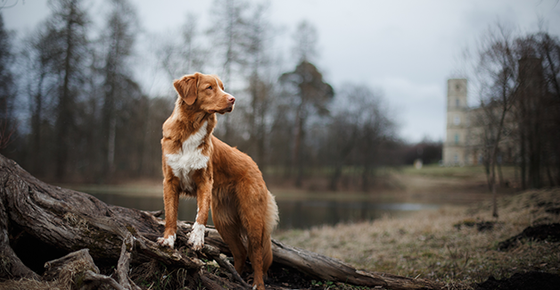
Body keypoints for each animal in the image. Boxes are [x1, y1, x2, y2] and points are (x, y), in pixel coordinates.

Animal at [158, 72, 280, 290]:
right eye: (209, 88)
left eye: (222, 88)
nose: (233, 99)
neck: (192, 129)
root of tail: (254, 165)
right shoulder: (169, 181)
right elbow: (170, 214)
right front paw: (168, 241)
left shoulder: (205, 181)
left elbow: (201, 214)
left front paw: (196, 238)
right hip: (224, 221)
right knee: (240, 253)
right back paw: (233, 278)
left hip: (252, 219)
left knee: (256, 254)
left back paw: (257, 283)